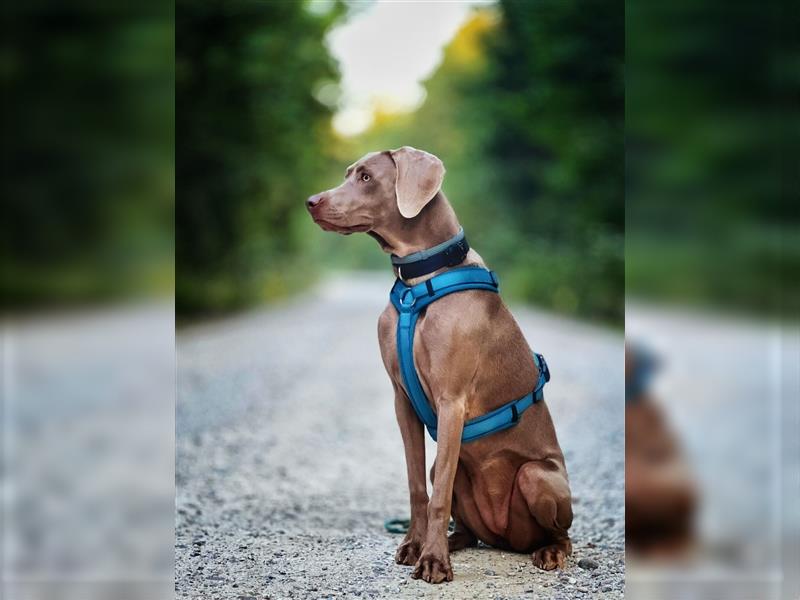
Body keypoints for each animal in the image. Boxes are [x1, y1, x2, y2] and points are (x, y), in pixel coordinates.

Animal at [308, 148, 576, 584]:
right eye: (349, 173)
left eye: (366, 177)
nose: (311, 202)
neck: (418, 281)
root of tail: (507, 539)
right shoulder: (402, 401)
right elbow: (419, 487)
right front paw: (415, 547)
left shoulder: (452, 401)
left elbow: (438, 500)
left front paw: (432, 561)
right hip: (463, 487)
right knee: (461, 518)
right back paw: (453, 541)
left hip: (539, 477)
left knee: (561, 532)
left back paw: (549, 551)